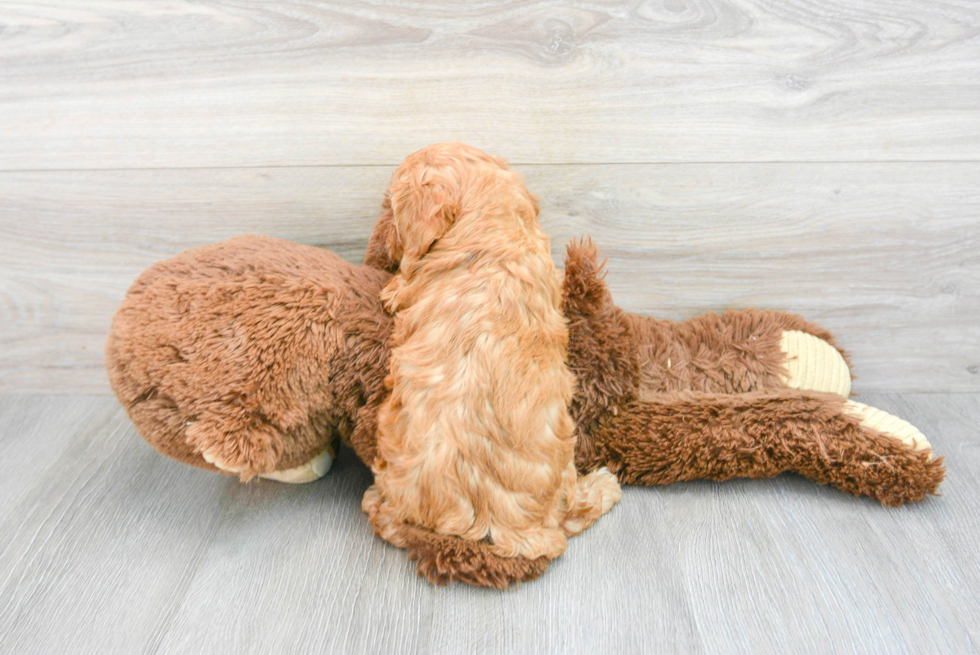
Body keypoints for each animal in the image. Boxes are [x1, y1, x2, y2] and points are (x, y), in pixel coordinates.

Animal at [360, 142, 620, 560]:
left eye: (392, 208)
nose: (384, 245)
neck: (493, 227)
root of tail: (499, 526)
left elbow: (404, 283)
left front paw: (394, 284)